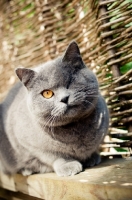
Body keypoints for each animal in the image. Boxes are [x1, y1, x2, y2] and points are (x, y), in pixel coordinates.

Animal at [0, 41, 109, 176]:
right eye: (47, 93)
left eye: (70, 81)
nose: (64, 98)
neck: (74, 126)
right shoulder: (30, 145)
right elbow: (56, 156)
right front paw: (68, 166)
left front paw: (92, 157)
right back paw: (27, 170)